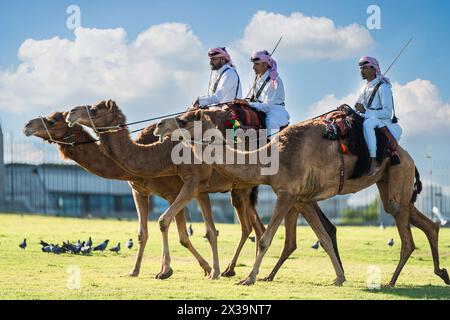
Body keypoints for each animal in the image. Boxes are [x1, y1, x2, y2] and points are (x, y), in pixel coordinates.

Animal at [22, 111, 264, 278]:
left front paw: (182, 269)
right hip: (238, 189)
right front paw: (135, 270)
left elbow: (182, 233)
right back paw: (242, 271)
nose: (27, 125)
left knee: (247, 227)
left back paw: (235, 270)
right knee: (251, 227)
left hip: (239, 189)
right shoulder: (140, 192)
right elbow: (144, 233)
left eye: (53, 120)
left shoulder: (177, 191)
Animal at [156, 108, 450, 288]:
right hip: (390, 183)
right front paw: (339, 278)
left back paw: (391, 281)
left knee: (407, 237)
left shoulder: (286, 194)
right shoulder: (304, 199)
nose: (159, 125)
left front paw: (248, 278)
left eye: (184, 119)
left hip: (399, 174)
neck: (270, 158)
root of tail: (408, 155)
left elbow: (264, 239)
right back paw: (442, 273)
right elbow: (324, 237)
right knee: (427, 224)